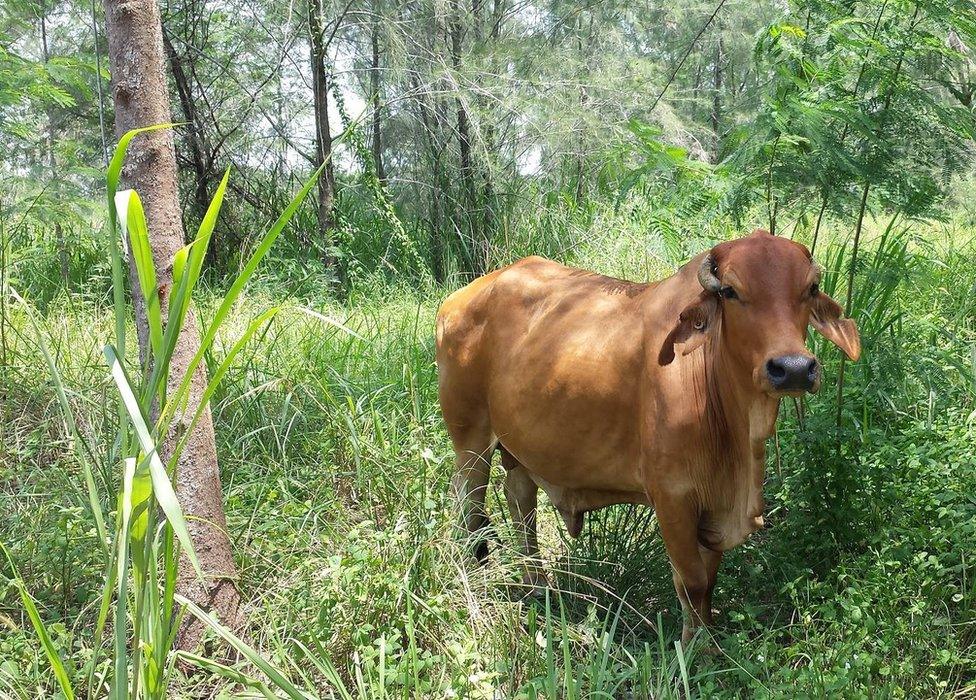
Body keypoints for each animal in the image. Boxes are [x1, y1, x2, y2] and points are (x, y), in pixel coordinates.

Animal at [436, 228, 860, 640]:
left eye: (810, 288)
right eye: (730, 291)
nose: (793, 368)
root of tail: (463, 296)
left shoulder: (711, 504)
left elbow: (709, 580)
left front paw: (709, 644)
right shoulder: (671, 496)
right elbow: (692, 582)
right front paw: (694, 651)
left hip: (519, 447)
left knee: (519, 500)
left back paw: (537, 586)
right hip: (470, 439)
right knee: (468, 507)